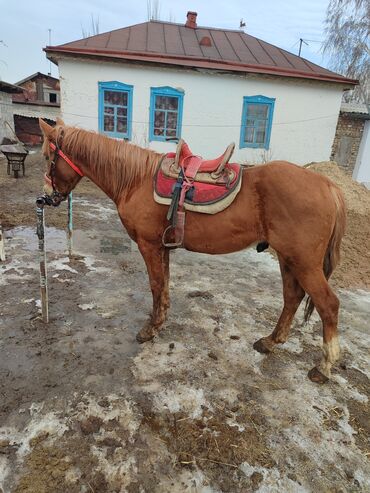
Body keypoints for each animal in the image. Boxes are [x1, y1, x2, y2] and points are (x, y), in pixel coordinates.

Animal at [39, 117, 346, 382]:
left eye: (46, 157)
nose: (47, 197)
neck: (136, 180)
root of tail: (327, 185)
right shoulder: (162, 246)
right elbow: (163, 284)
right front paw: (160, 320)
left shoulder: (148, 245)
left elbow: (155, 284)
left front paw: (149, 330)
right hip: (287, 258)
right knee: (292, 298)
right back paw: (270, 342)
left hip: (304, 262)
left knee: (328, 305)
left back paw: (323, 367)